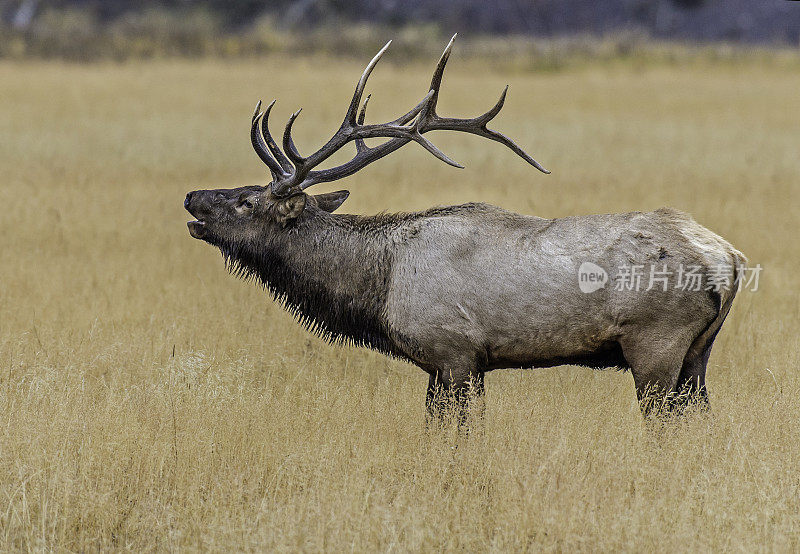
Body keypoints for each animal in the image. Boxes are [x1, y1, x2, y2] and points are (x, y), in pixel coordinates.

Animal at [184, 35, 748, 418]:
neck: (377, 286)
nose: (192, 197)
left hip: (656, 344)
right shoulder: (452, 366)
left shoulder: (453, 354)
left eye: (245, 200)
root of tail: (730, 260)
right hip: (698, 354)